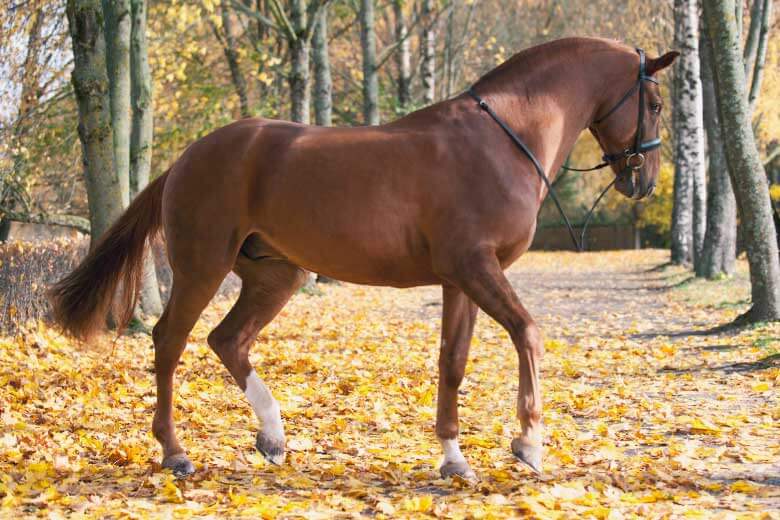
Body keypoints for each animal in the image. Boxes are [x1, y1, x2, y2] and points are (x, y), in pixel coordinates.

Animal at [48, 37, 676, 480]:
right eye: (655, 102)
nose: (643, 180)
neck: (502, 139)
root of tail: (186, 158)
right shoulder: (477, 268)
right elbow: (529, 333)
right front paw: (528, 444)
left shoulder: (460, 279)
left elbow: (452, 362)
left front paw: (454, 459)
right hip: (203, 266)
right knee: (170, 342)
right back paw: (176, 453)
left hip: (277, 275)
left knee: (227, 340)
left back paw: (273, 437)